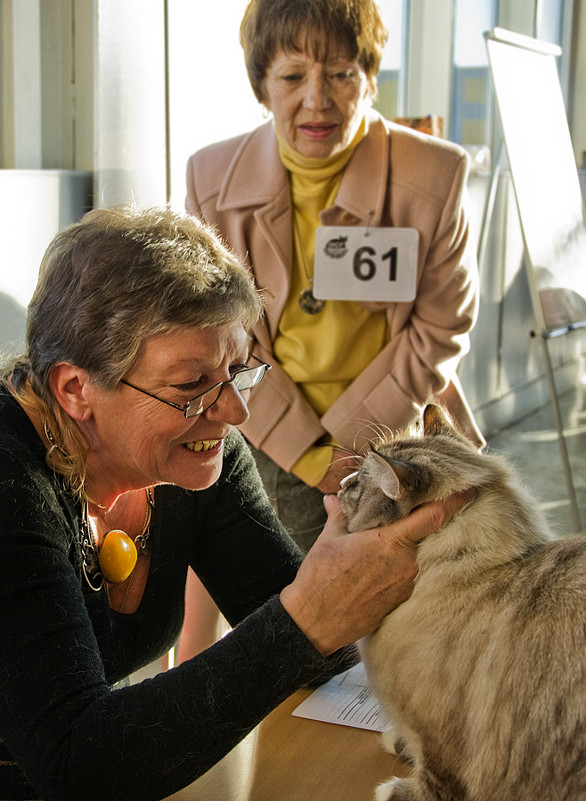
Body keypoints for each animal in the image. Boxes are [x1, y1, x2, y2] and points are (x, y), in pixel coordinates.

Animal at [336, 406, 584, 800]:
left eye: (357, 483)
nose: (341, 483)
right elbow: (406, 743)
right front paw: (394, 741)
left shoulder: (441, 749)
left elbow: (426, 785)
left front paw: (388, 787)